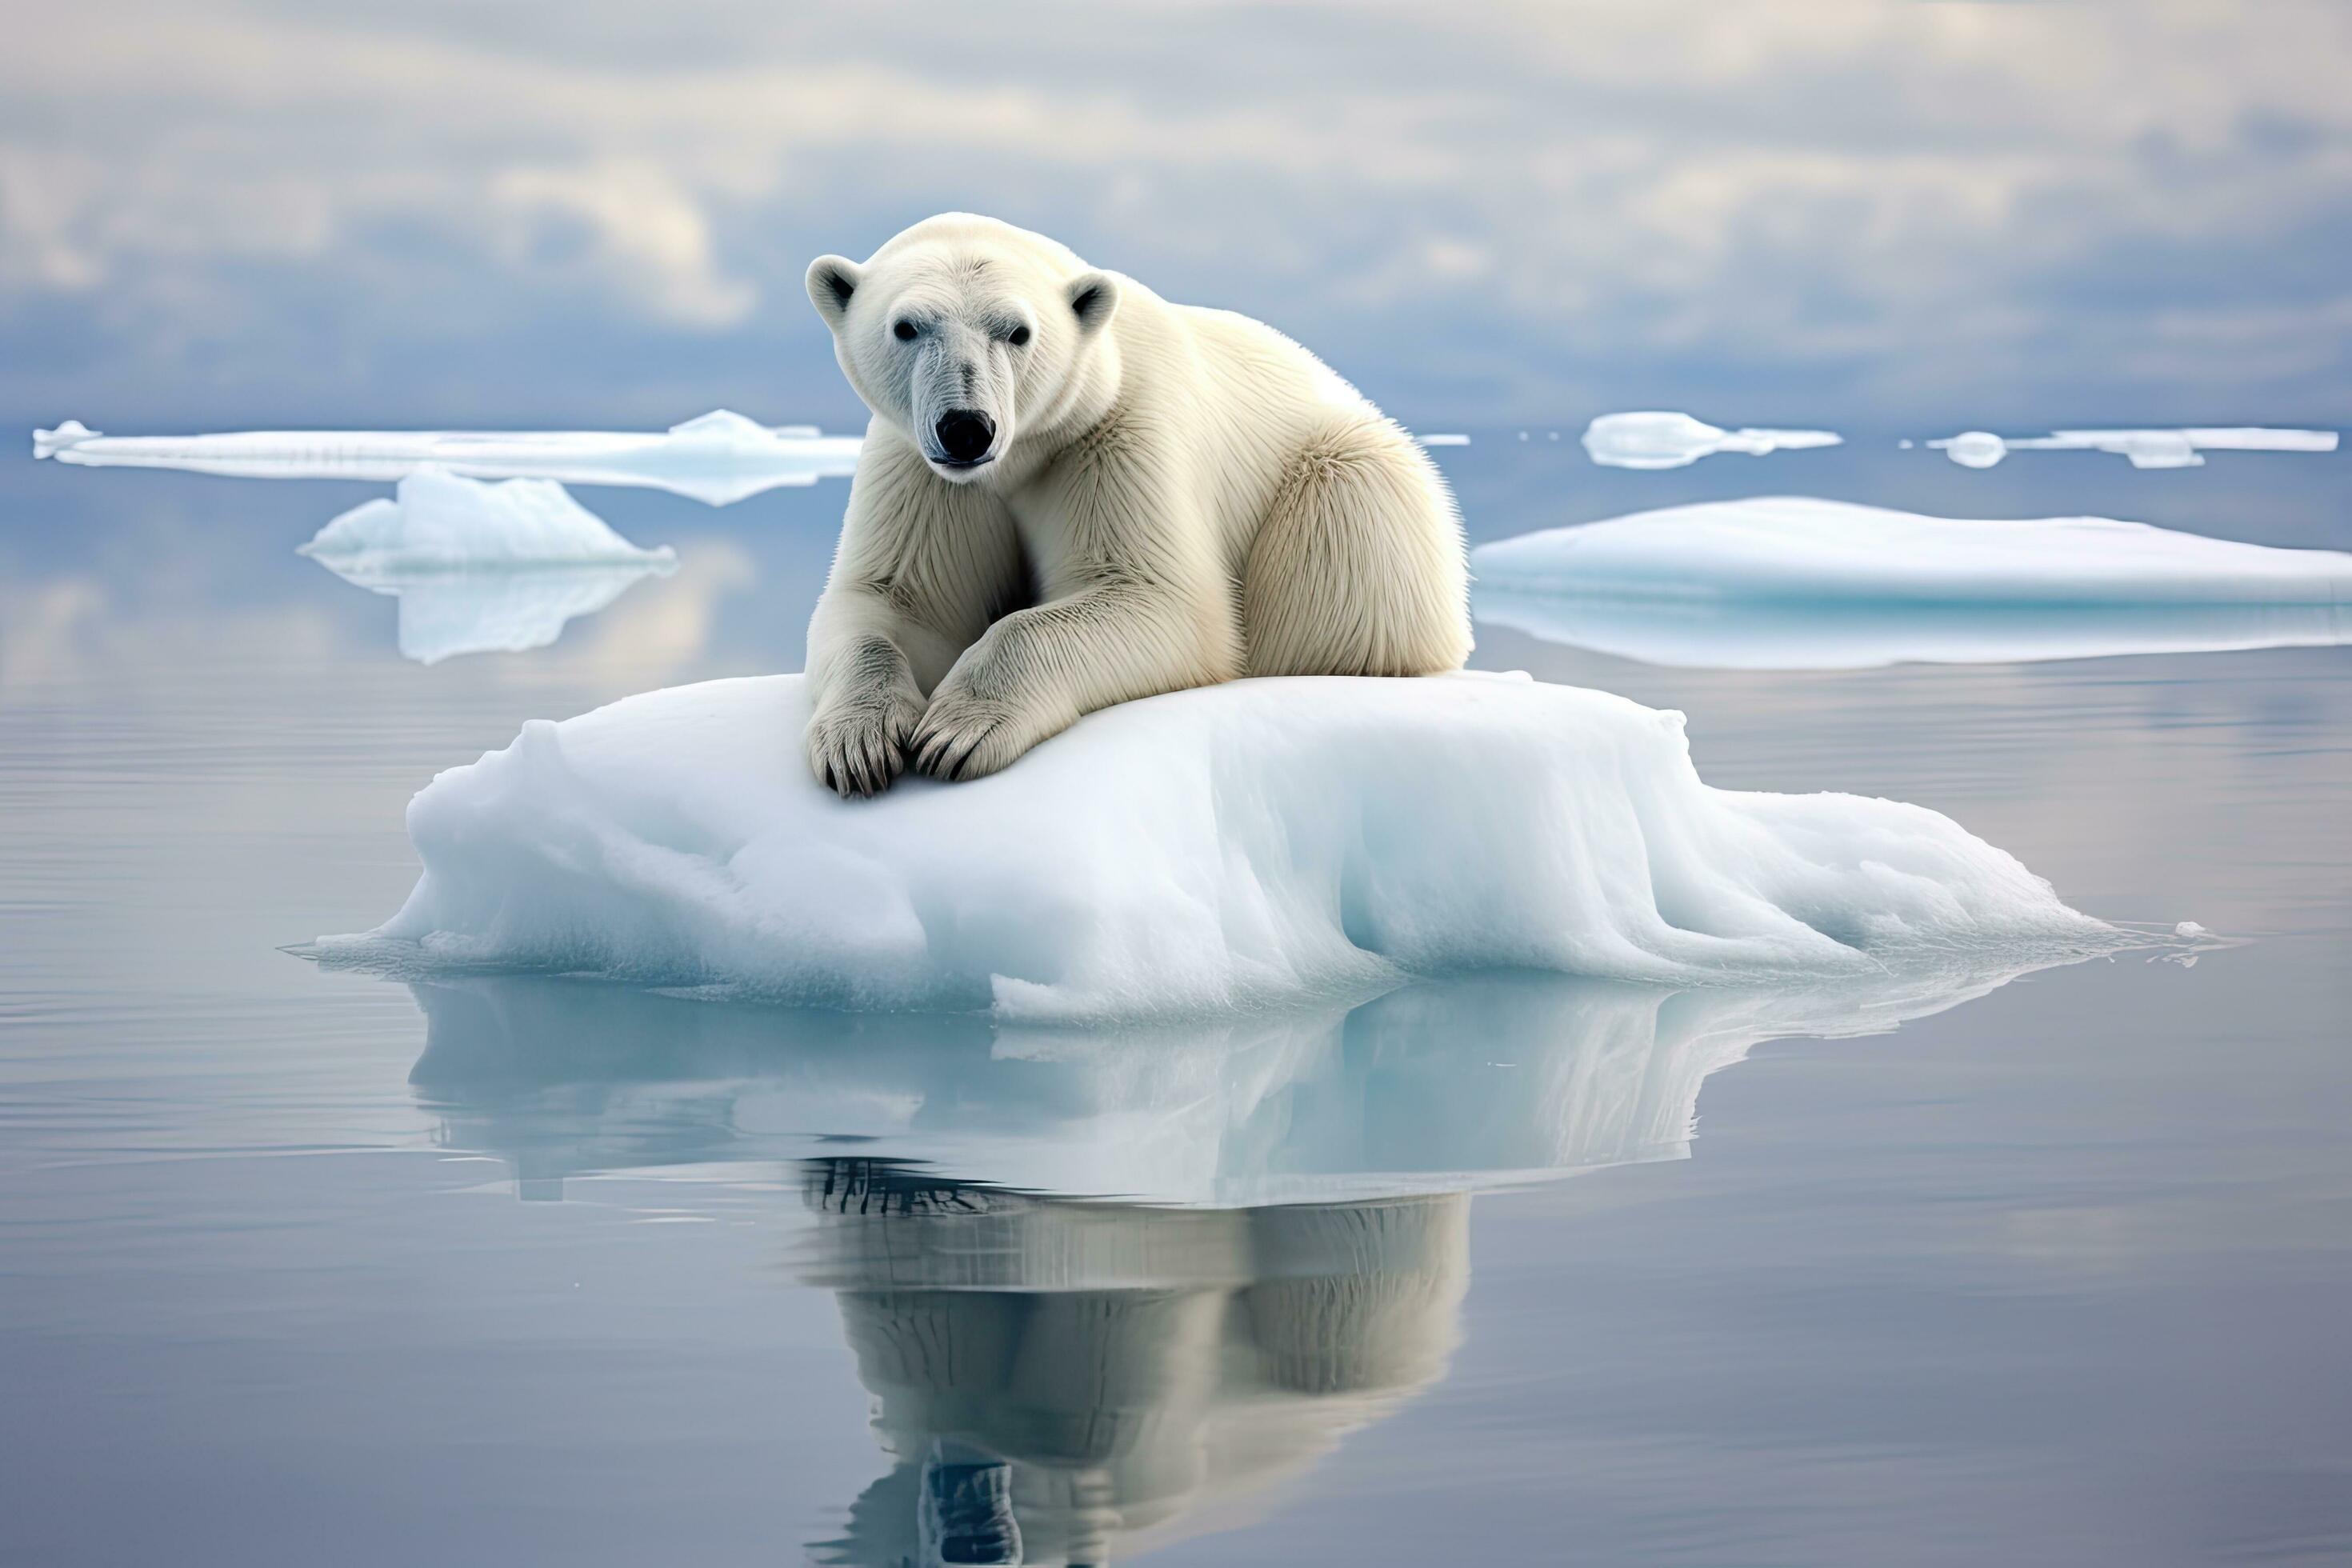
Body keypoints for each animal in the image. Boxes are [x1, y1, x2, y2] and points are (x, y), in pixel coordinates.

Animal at [801, 213, 1471, 796]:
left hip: (1345, 488)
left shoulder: (1114, 437)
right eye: (907, 326)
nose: (967, 427)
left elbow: (1160, 599)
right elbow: (898, 600)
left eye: (1018, 331)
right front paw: (859, 744)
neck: (1022, 456)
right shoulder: (923, 471)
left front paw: (955, 731)